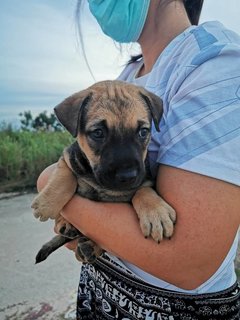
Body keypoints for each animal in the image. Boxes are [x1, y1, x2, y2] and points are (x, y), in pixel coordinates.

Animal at [31, 81, 175, 264]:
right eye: (98, 133)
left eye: (143, 132)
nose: (128, 176)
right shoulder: (68, 157)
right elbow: (65, 176)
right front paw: (46, 204)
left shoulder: (146, 180)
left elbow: (143, 190)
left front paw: (156, 213)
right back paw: (66, 224)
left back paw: (89, 247)